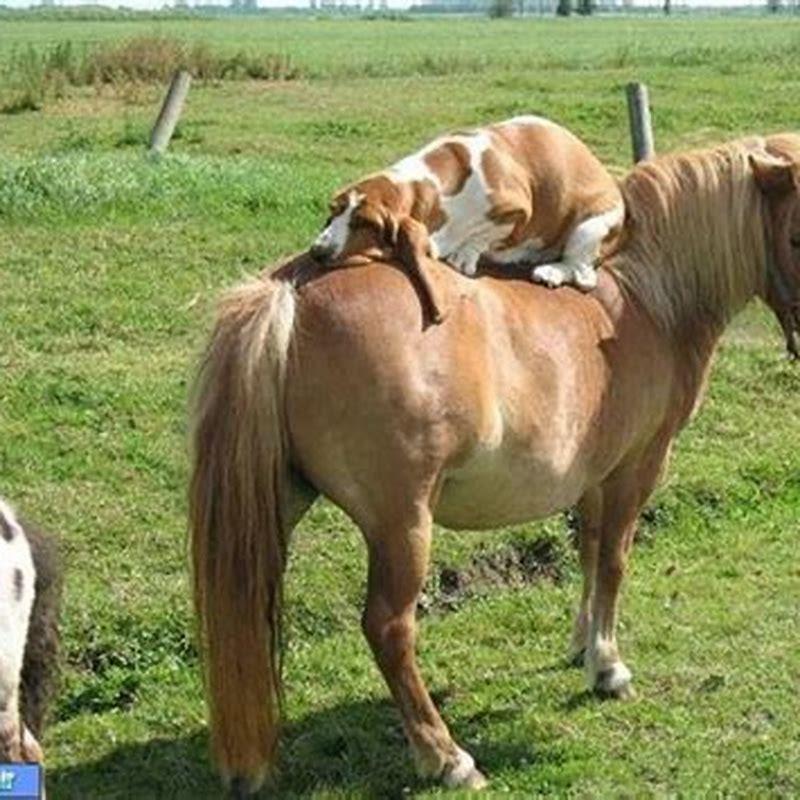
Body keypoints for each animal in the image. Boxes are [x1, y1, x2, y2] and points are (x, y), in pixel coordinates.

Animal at [190, 134, 800, 794]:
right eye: (797, 237)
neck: (640, 295)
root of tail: (293, 289)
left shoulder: (592, 477)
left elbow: (589, 554)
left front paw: (581, 645)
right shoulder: (636, 468)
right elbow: (614, 561)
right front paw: (608, 667)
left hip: (273, 507)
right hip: (402, 525)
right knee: (388, 628)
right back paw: (446, 756)